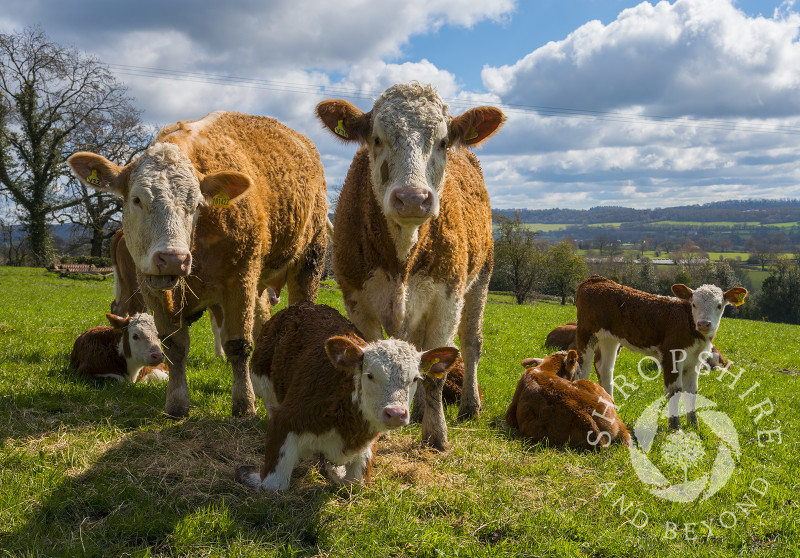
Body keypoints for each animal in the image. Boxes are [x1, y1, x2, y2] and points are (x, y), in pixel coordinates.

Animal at [69, 112, 328, 420]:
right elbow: (174, 347)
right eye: (137, 199)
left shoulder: (240, 280)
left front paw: (244, 404)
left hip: (309, 259)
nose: (173, 258)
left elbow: (238, 344)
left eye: (195, 204)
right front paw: (176, 403)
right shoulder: (151, 287)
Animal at [236, 304, 462, 492]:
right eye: (370, 375)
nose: (396, 413)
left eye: (415, 378)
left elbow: (354, 483)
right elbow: (273, 486)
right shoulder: (284, 421)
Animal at [316, 82, 504, 450]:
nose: (414, 198)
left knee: (470, 343)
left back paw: (469, 405)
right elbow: (370, 359)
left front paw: (436, 436)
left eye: (443, 142)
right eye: (376, 139)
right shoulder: (358, 301)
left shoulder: (446, 300)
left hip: (482, 276)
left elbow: (436, 374)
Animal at [572, 278, 748, 430]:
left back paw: (611, 410)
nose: (704, 323)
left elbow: (692, 392)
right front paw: (676, 428)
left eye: (719, 305)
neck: (689, 324)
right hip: (586, 334)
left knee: (605, 369)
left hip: (610, 339)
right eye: (694, 304)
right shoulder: (672, 356)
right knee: (583, 370)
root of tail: (596, 279)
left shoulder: (695, 362)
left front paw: (694, 425)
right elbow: (675, 391)